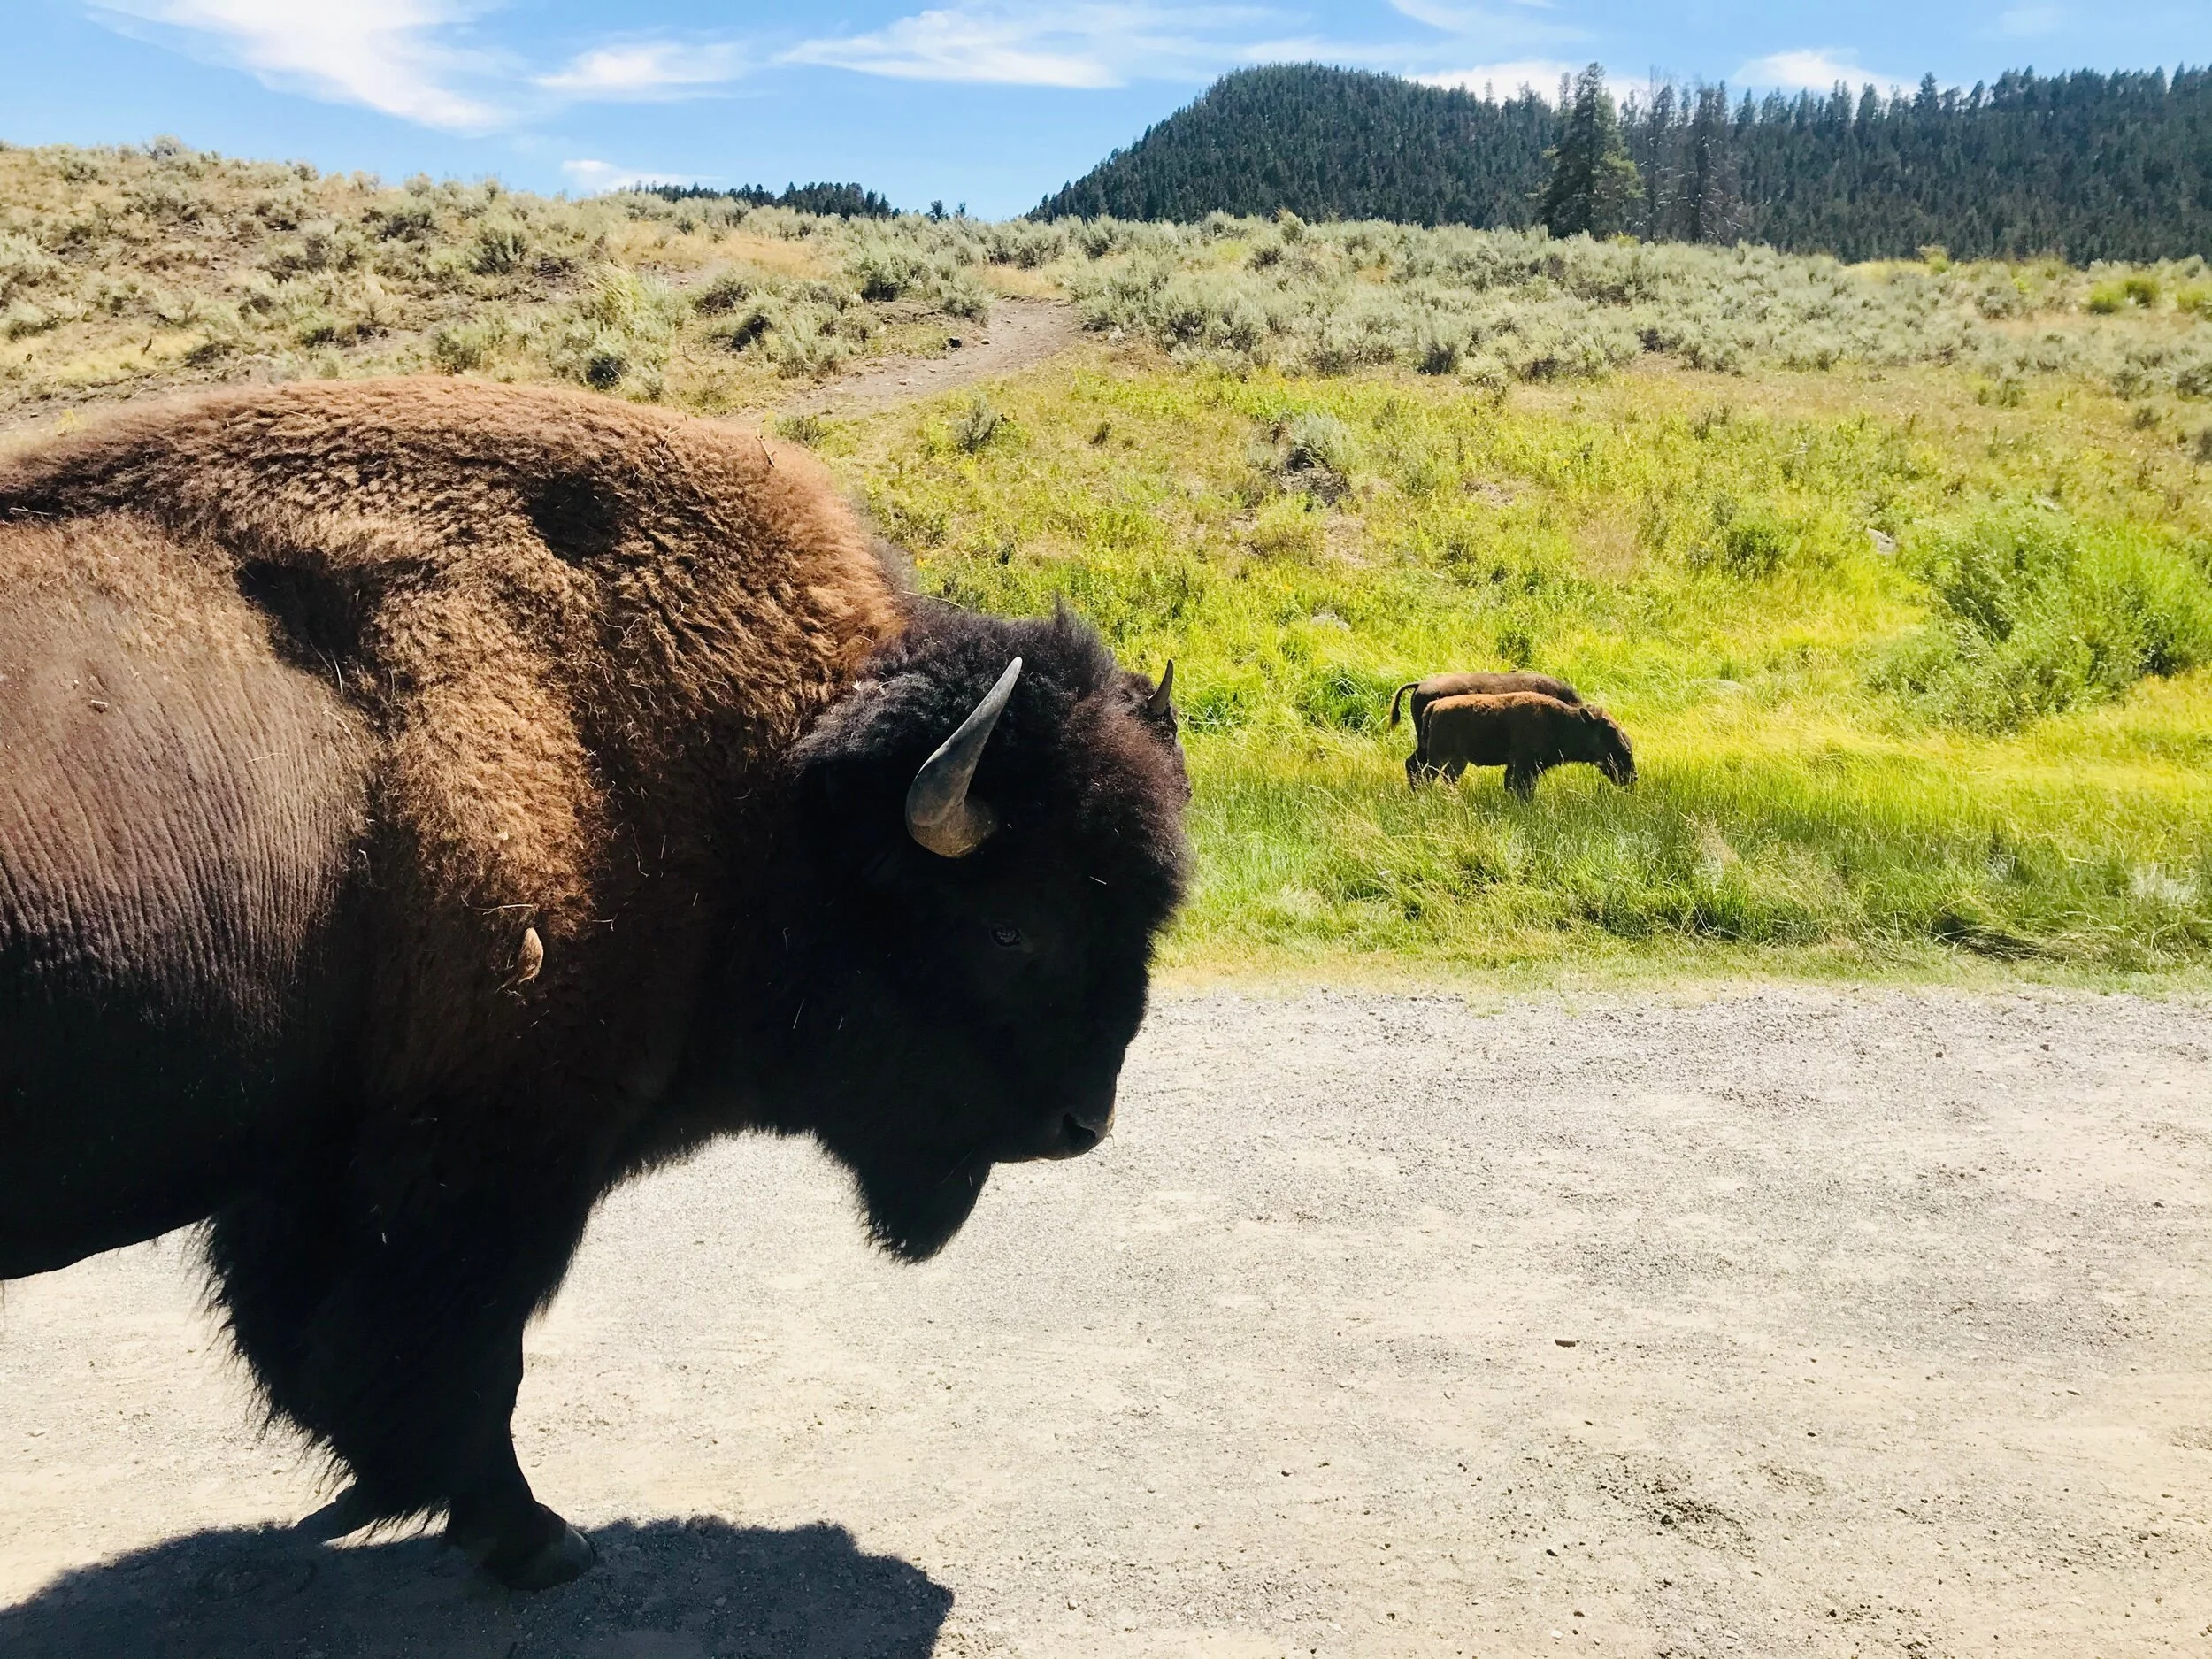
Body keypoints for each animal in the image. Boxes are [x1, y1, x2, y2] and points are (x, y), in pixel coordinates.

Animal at [0, 380, 1189, 1588]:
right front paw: (534, 1538)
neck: (766, 789)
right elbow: (463, 1354)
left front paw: (387, 1489)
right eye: (1011, 925)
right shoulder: (493, 1150)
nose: (1082, 1123)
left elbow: (316, 1341)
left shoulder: (315, 1155)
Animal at [1410, 691, 1635, 797]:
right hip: (1438, 758)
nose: (1633, 776)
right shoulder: (1523, 765)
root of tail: (1435, 705)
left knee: (1447, 778)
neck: (1558, 721)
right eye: (1608, 730)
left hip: (1458, 761)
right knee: (1426, 776)